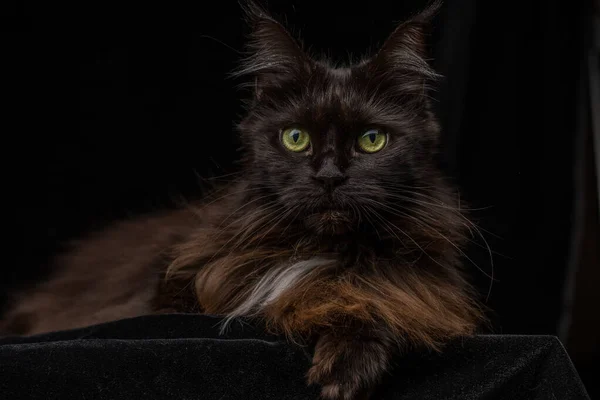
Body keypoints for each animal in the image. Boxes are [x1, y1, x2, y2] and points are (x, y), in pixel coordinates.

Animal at [0, 1, 488, 398]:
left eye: (372, 140)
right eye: (295, 138)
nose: (329, 177)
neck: (323, 248)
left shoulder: (421, 290)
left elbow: (372, 296)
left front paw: (347, 360)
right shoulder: (188, 290)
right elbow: (300, 296)